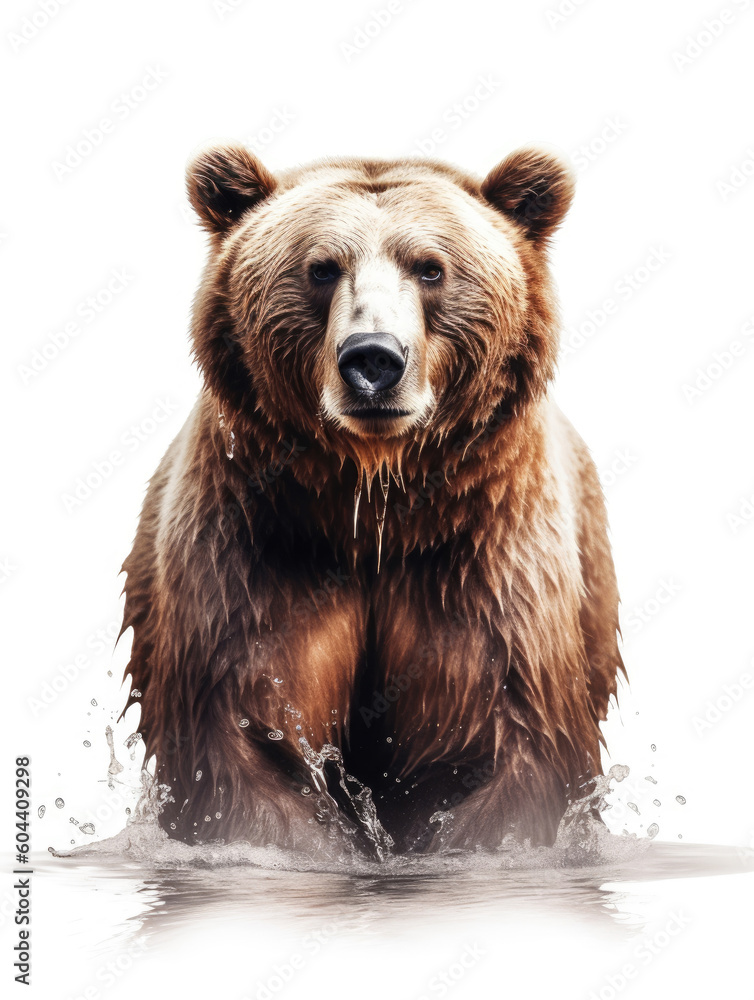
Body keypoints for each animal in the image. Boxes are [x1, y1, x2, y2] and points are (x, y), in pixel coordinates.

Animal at [120, 142, 624, 856]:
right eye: (321, 268)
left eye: (432, 267)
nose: (374, 360)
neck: (375, 507)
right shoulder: (255, 553)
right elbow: (241, 738)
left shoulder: (485, 564)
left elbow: (507, 740)